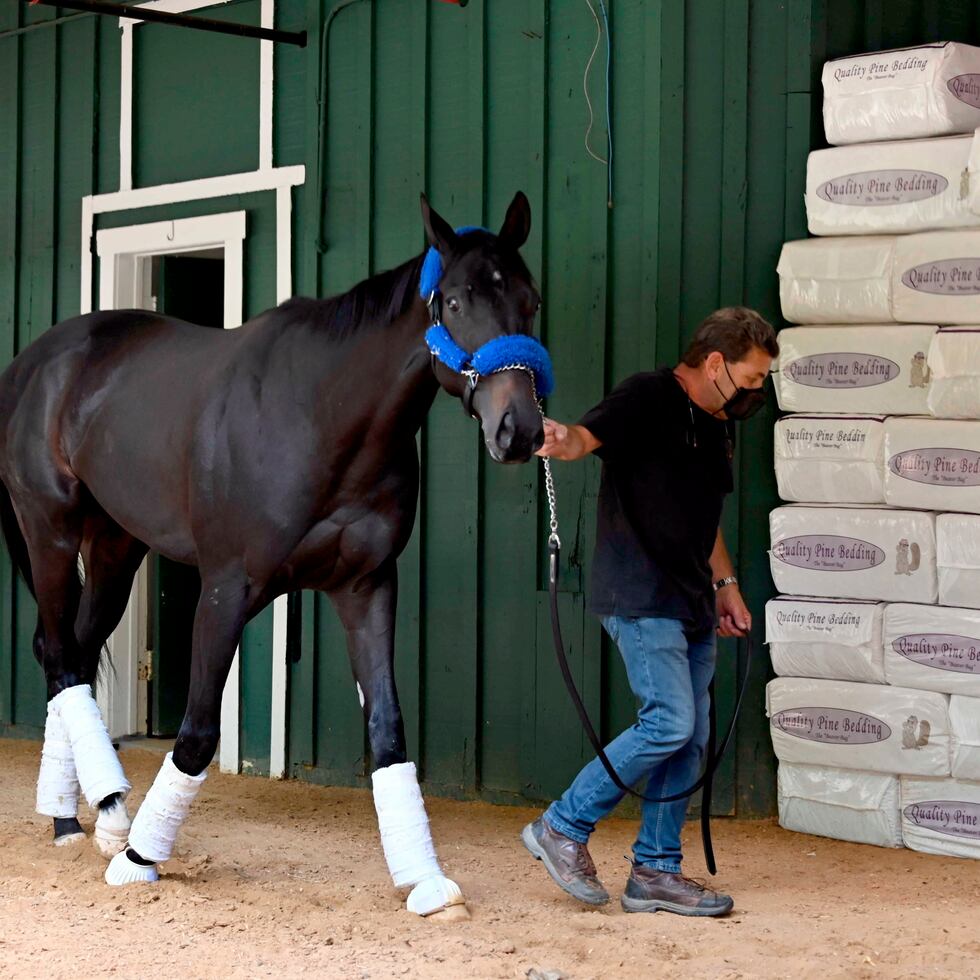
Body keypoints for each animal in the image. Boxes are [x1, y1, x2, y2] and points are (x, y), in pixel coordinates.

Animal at [0, 193, 544, 920]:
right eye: (454, 301)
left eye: (529, 300)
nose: (520, 431)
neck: (320, 413)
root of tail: (37, 361)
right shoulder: (227, 589)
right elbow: (198, 732)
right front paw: (141, 860)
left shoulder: (367, 586)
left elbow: (389, 730)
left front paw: (426, 880)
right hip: (53, 532)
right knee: (59, 656)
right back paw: (98, 820)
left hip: (116, 545)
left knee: (78, 658)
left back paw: (84, 817)